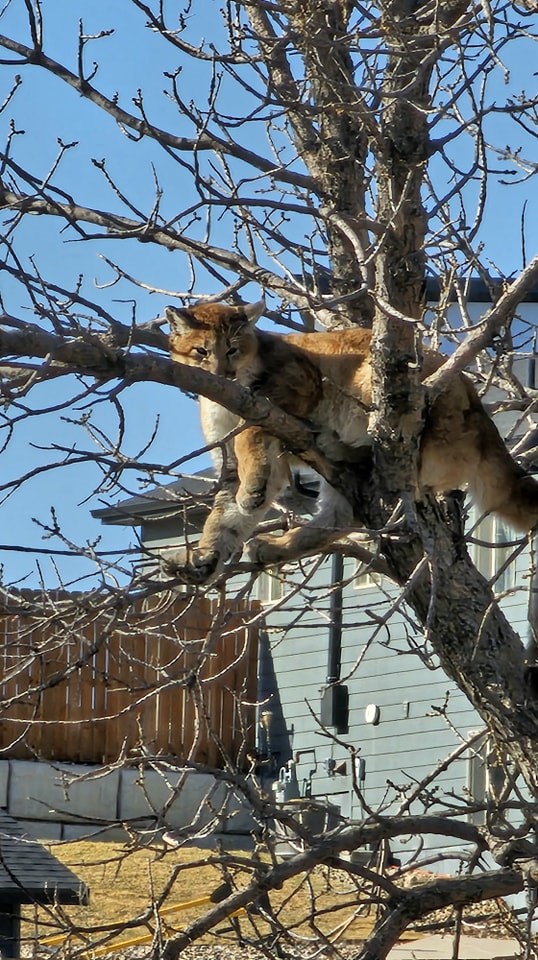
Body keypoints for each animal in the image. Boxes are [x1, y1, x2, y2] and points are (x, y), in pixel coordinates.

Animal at [165, 300, 536, 584]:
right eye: (201, 351)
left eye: (233, 349)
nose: (222, 375)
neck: (221, 402)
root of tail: (477, 404)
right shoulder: (228, 465)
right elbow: (223, 518)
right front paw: (204, 558)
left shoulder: (297, 386)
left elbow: (250, 428)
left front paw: (251, 490)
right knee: (341, 517)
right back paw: (273, 546)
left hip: (377, 381)